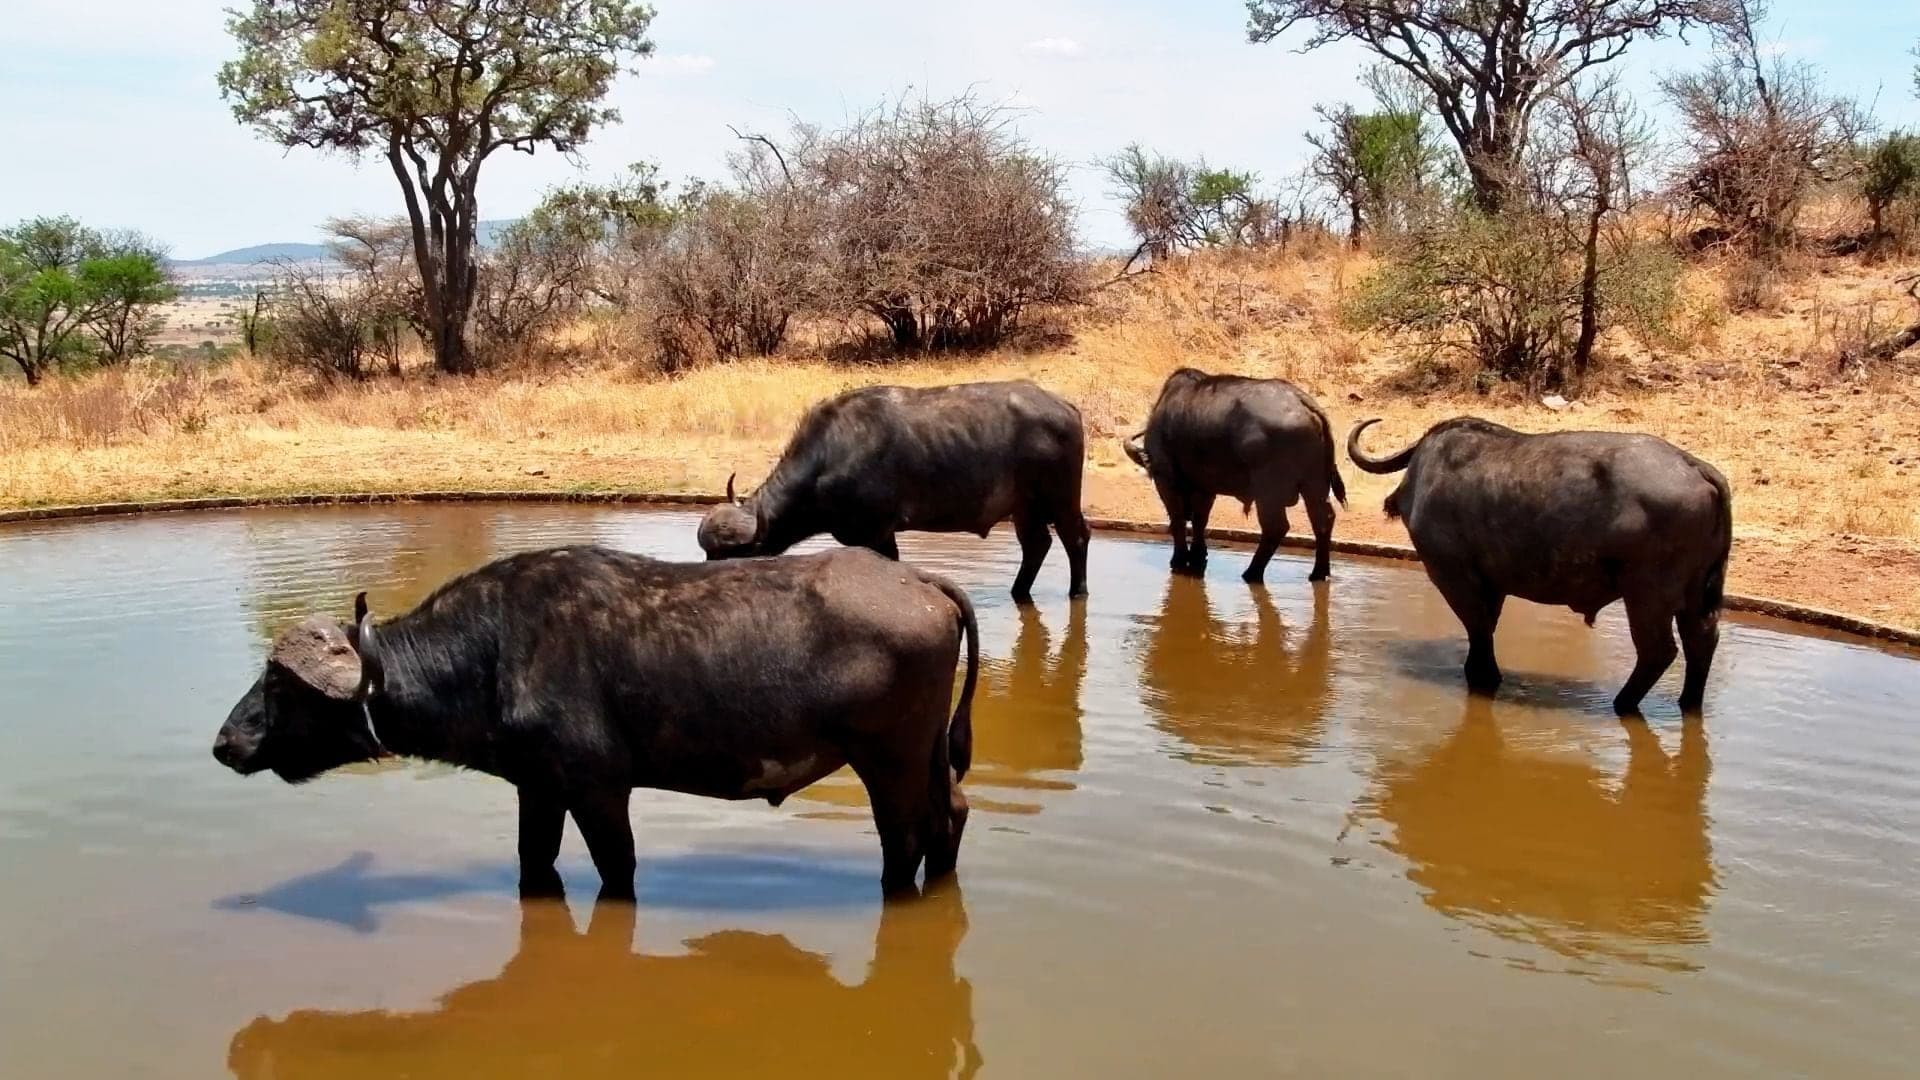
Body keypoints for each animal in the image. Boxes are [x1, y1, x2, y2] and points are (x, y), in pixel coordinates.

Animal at [212, 545, 980, 897]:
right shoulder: (539, 789)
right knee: (951, 817)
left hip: (889, 760)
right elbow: (535, 861)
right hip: (927, 758)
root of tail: (915, 580)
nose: (225, 742)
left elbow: (618, 867)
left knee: (904, 840)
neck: (496, 649)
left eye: (279, 684)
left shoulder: (598, 790)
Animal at [698, 380, 1090, 603]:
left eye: (724, 556)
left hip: (1061, 498)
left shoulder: (876, 532)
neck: (830, 457)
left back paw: (1078, 592)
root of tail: (1066, 408)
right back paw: (1018, 593)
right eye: (707, 554)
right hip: (1025, 507)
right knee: (1037, 544)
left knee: (1076, 538)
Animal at [1124, 368, 1346, 583]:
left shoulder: (1166, 479)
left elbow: (1177, 520)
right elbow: (1200, 520)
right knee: (1323, 520)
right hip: (1315, 485)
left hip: (1268, 494)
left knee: (1275, 527)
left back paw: (1252, 573)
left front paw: (1179, 560)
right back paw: (1319, 573)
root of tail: (1302, 402)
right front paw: (1197, 557)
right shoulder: (1205, 488)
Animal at [1348, 417, 1733, 715]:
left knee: (1658, 651)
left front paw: (1483, 676)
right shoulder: (1493, 585)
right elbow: (1486, 627)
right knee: (1701, 639)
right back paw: (1688, 703)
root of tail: (1694, 466)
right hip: (1694, 597)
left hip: (1646, 597)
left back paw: (1623, 703)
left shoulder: (1454, 576)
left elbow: (1478, 627)